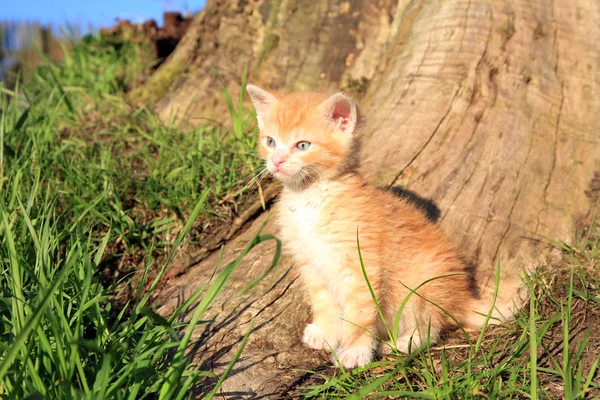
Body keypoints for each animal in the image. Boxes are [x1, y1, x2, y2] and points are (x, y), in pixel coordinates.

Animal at [246, 83, 512, 368]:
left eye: (302, 145)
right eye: (270, 141)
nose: (276, 161)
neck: (310, 196)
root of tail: (460, 298)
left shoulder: (361, 263)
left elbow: (359, 313)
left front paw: (355, 351)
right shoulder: (310, 263)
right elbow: (323, 301)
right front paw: (325, 332)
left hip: (421, 286)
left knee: (429, 328)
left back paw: (400, 344)